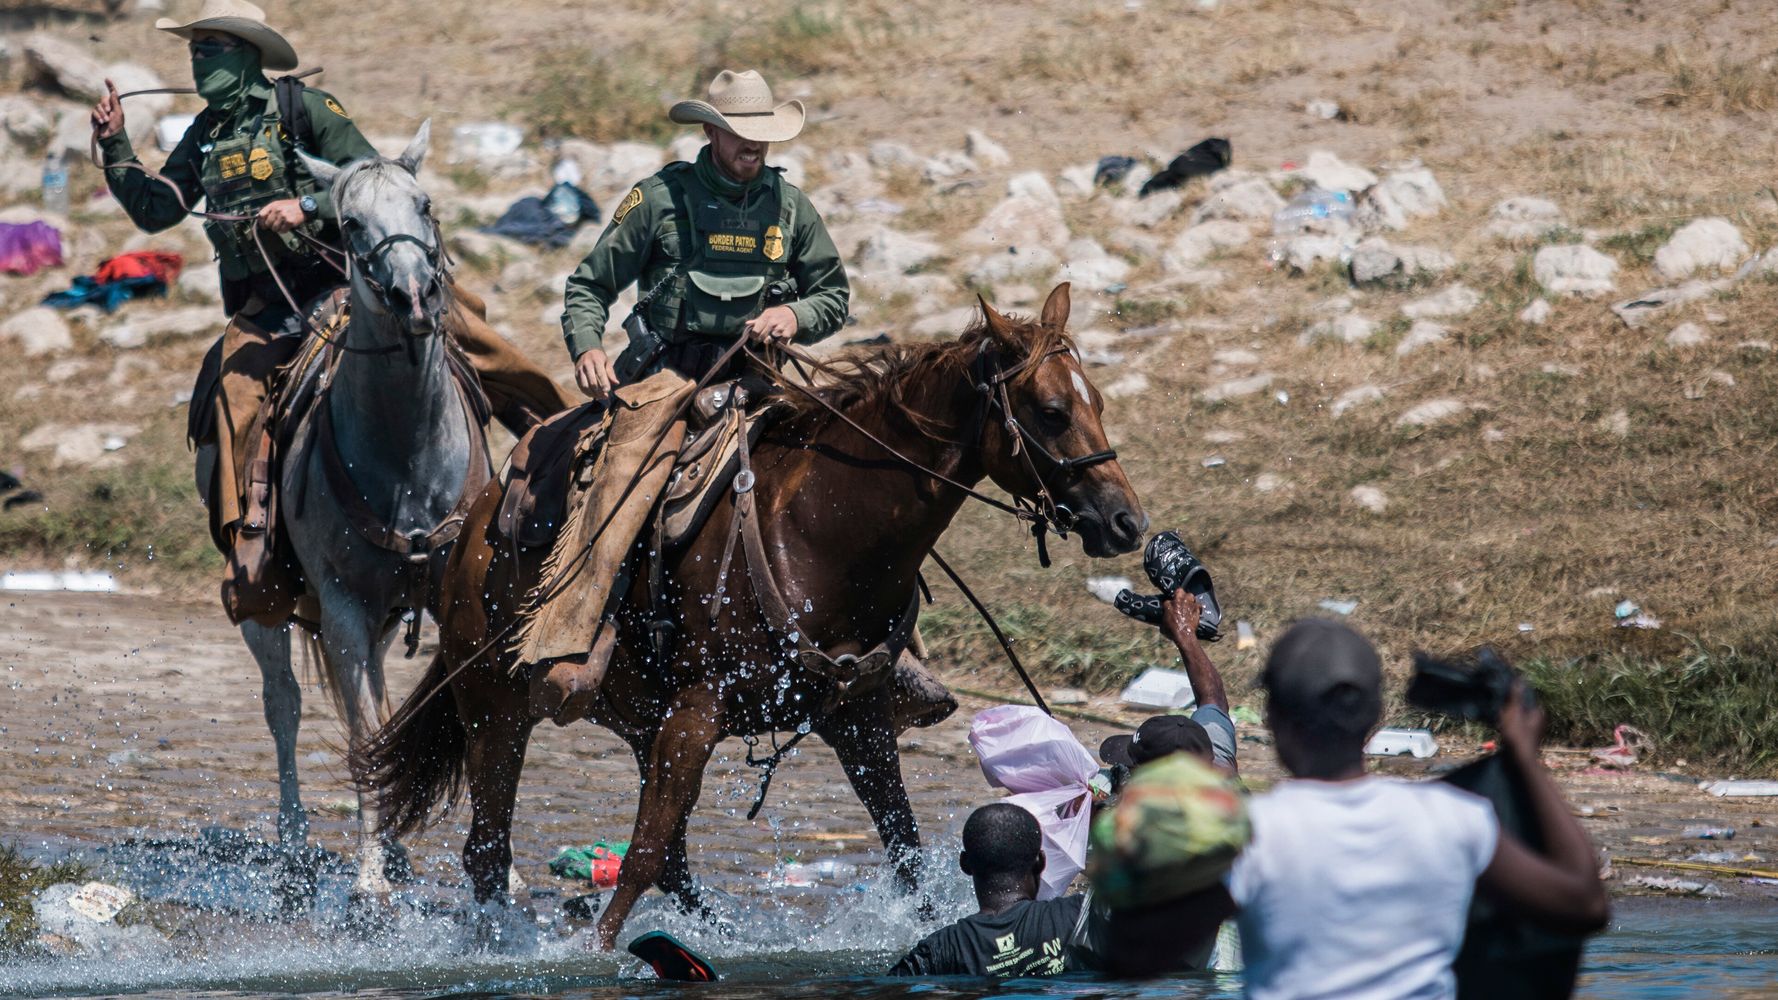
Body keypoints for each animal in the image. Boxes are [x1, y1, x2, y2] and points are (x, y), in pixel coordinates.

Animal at [218, 120, 490, 900]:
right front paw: (370, 879)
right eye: (349, 224)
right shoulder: (340, 608)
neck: (407, 457)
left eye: (424, 204)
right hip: (270, 604)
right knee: (284, 704)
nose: (413, 297)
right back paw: (295, 845)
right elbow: (364, 732)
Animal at [353, 281, 1145, 939]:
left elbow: (906, 851)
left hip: (636, 716)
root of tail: (472, 528)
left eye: (1100, 403)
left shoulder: (856, 719)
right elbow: (641, 856)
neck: (822, 532)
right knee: (490, 850)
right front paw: (600, 953)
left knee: (665, 859)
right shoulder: (699, 712)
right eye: (1052, 412)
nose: (1126, 522)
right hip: (496, 707)